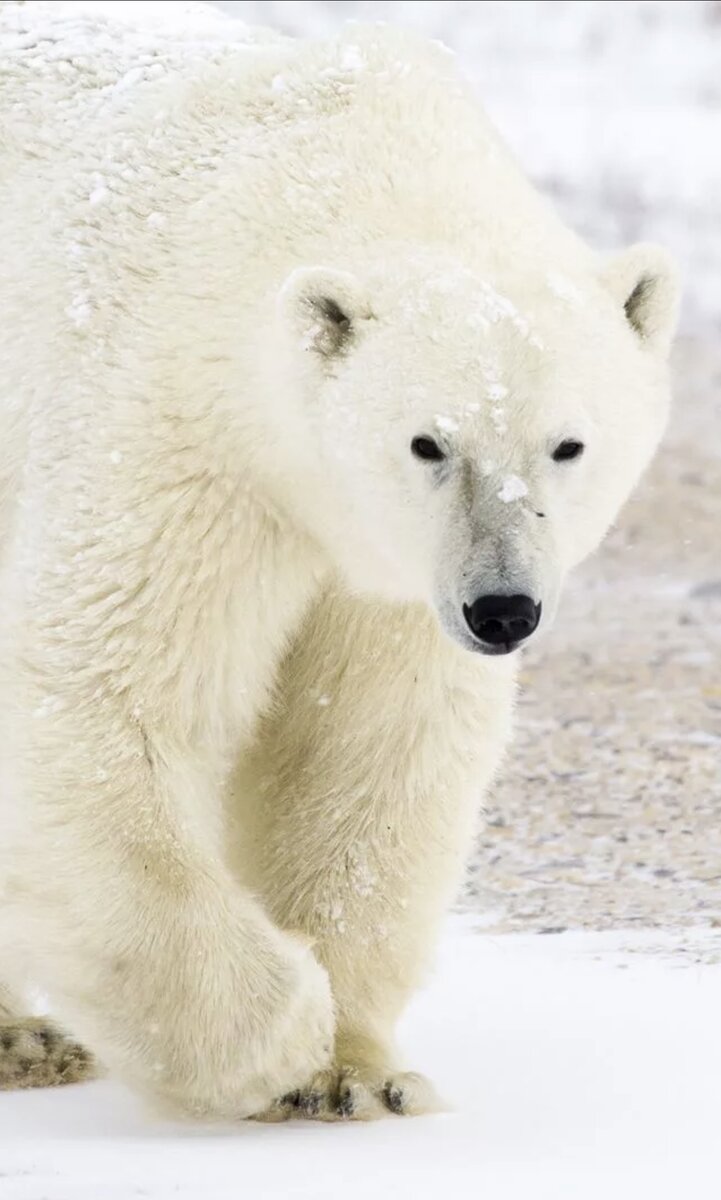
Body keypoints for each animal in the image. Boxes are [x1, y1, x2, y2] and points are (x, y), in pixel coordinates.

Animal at [0, 4, 676, 1118]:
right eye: (428, 443)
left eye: (567, 445)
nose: (502, 610)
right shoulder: (177, 442)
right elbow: (100, 698)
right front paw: (278, 1035)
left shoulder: (390, 575)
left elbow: (364, 747)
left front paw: (352, 1075)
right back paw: (24, 1039)